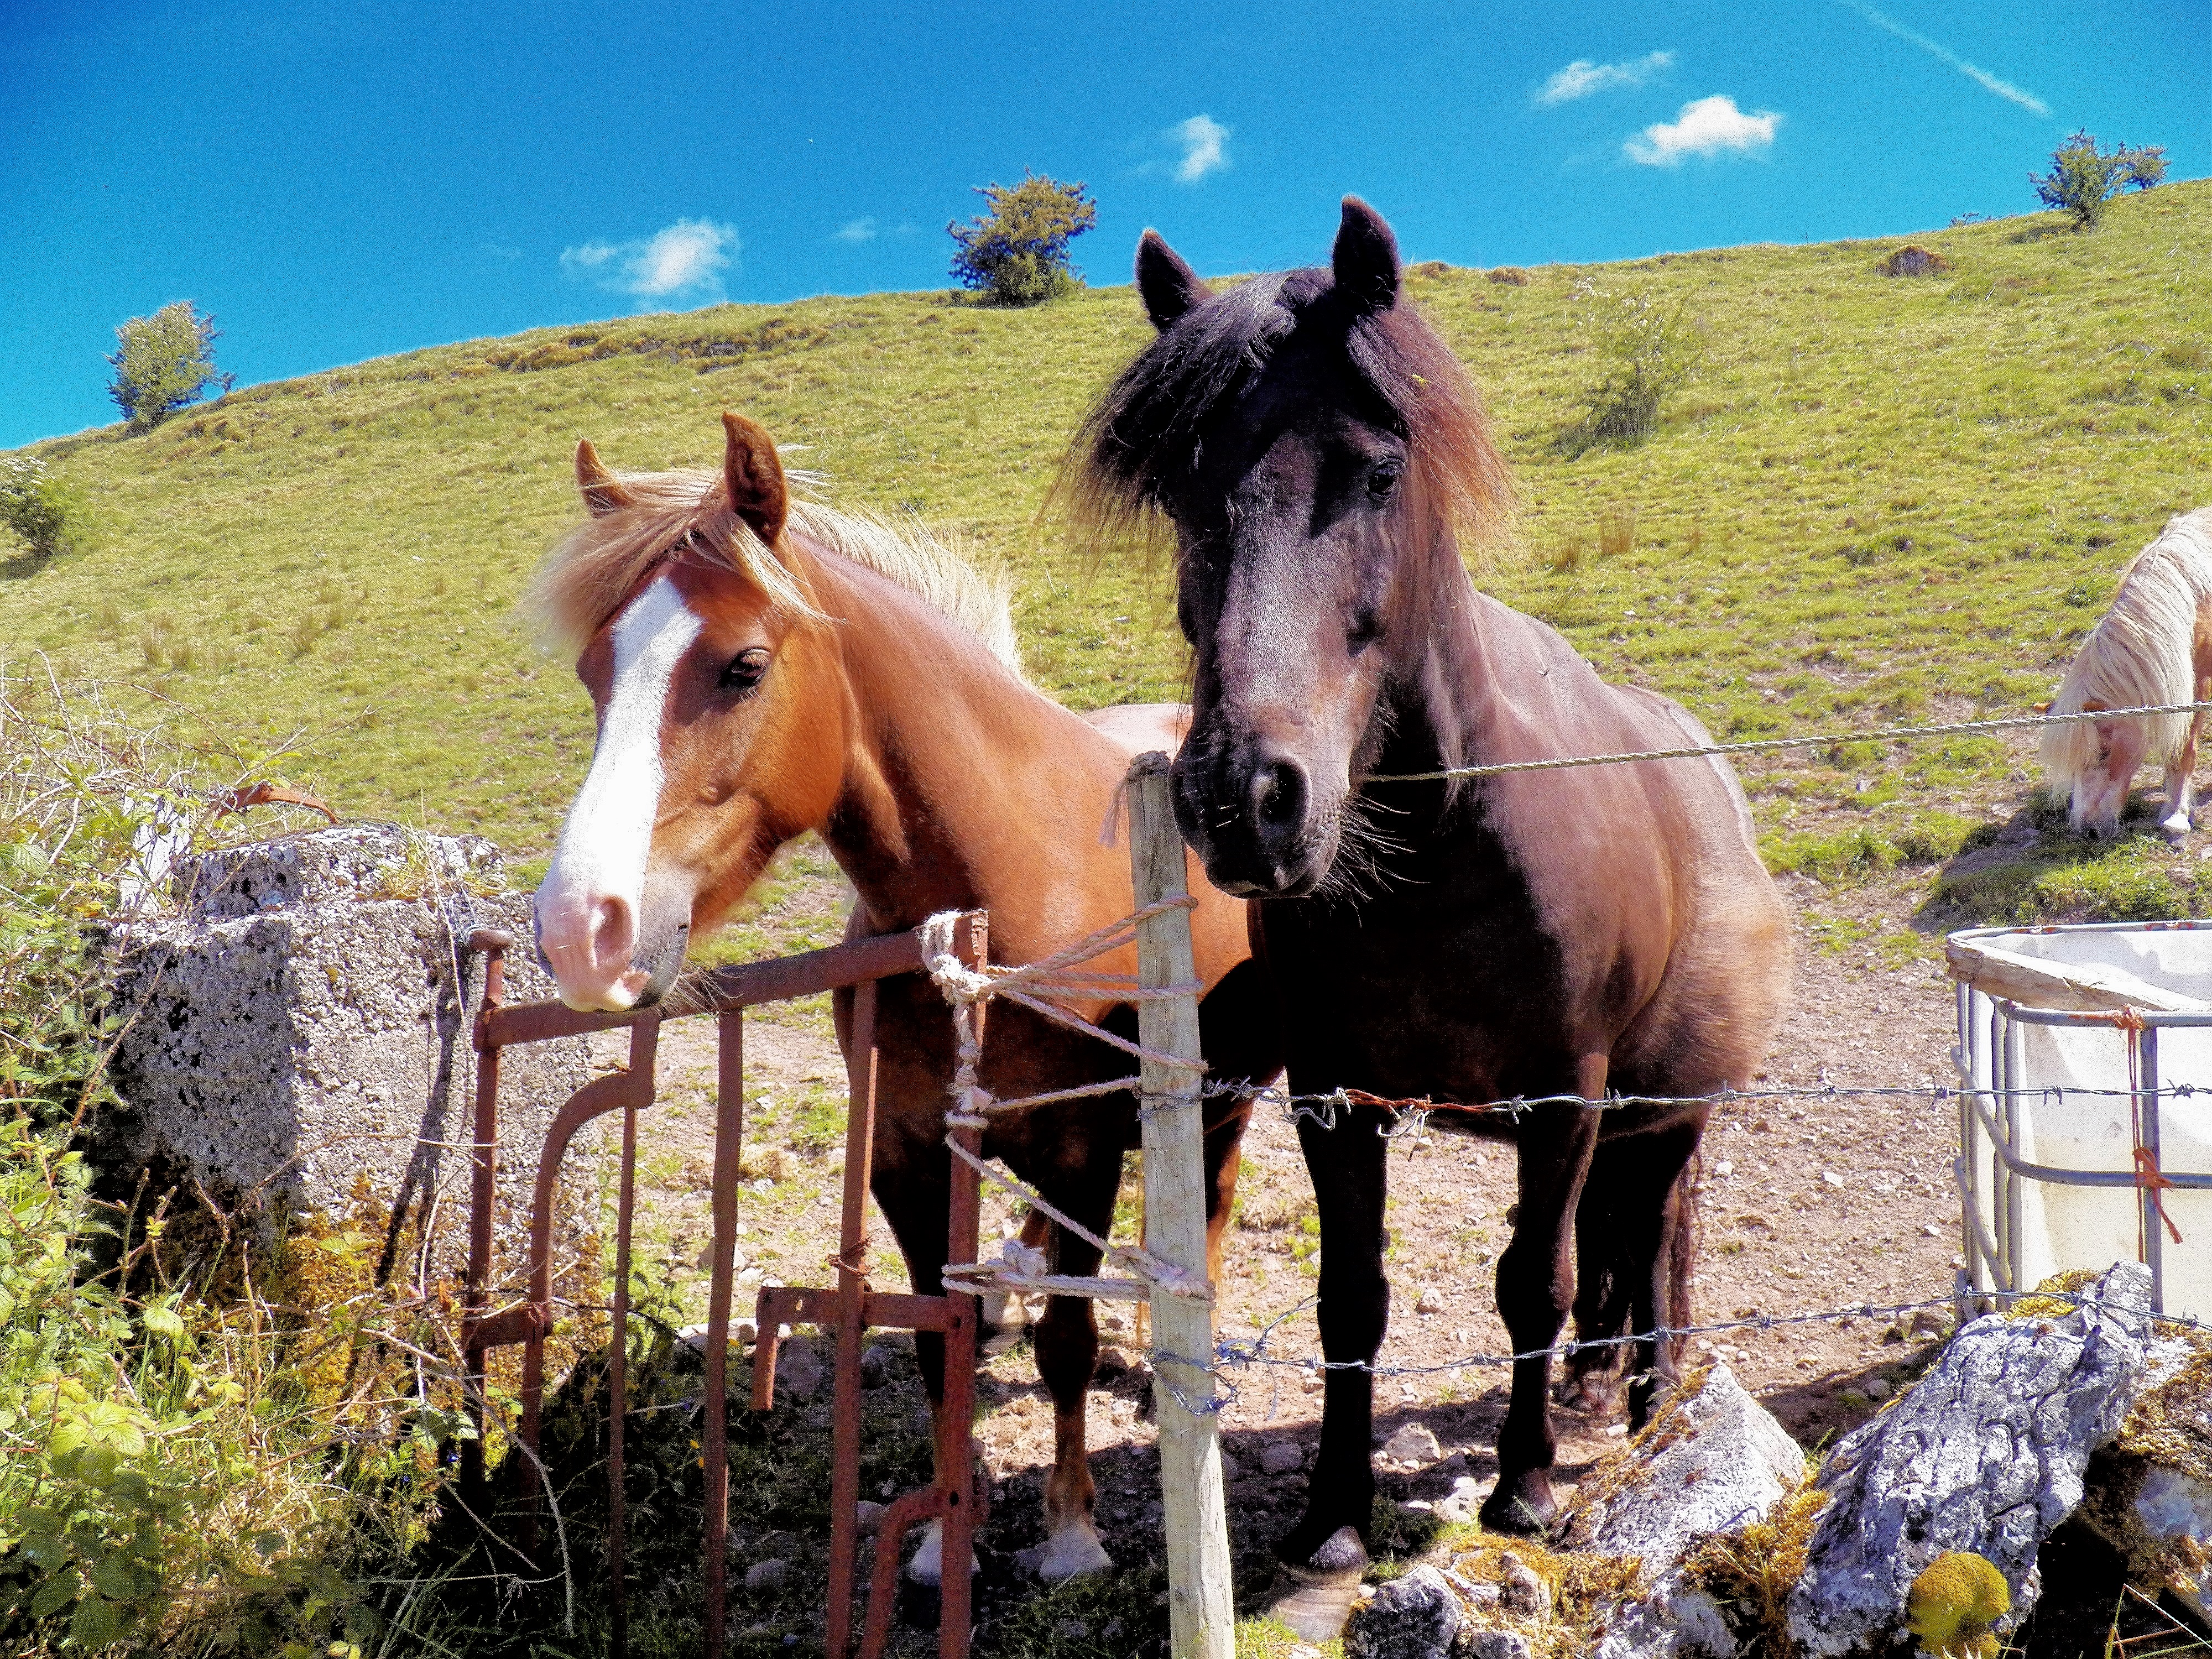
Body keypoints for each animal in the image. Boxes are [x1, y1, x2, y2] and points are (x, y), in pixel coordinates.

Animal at [528, 414, 1281, 1583]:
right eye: (592, 673)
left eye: (743, 666)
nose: (579, 930)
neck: (1006, 885)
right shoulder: (906, 1154)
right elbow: (935, 1339)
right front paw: (938, 1536)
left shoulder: (1081, 1147)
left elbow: (1069, 1343)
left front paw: (1069, 1529)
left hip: (1221, 1099)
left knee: (1209, 1208)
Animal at [1064, 199, 1792, 1609]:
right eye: (1183, 492)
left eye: (1377, 475)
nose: (1245, 794)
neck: (1442, 855)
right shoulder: (1332, 1093)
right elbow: (1353, 1297)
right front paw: (1333, 1515)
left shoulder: (1565, 1092)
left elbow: (1532, 1283)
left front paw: (1521, 1488)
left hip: (1664, 1114)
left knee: (1654, 1249)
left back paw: (1649, 1406)